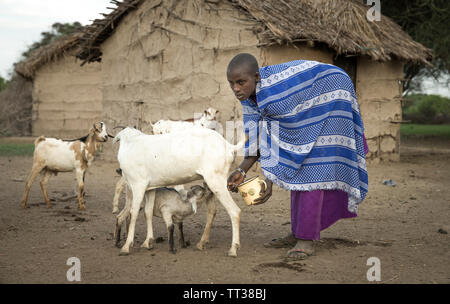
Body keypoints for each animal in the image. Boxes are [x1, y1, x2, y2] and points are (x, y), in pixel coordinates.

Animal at [112, 126, 246, 256]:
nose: (118, 170)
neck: (130, 144)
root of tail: (228, 146)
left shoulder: (138, 185)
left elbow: (133, 214)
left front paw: (126, 247)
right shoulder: (150, 188)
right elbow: (147, 212)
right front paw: (147, 242)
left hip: (216, 181)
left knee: (235, 211)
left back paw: (233, 249)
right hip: (210, 182)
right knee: (212, 211)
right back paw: (201, 243)